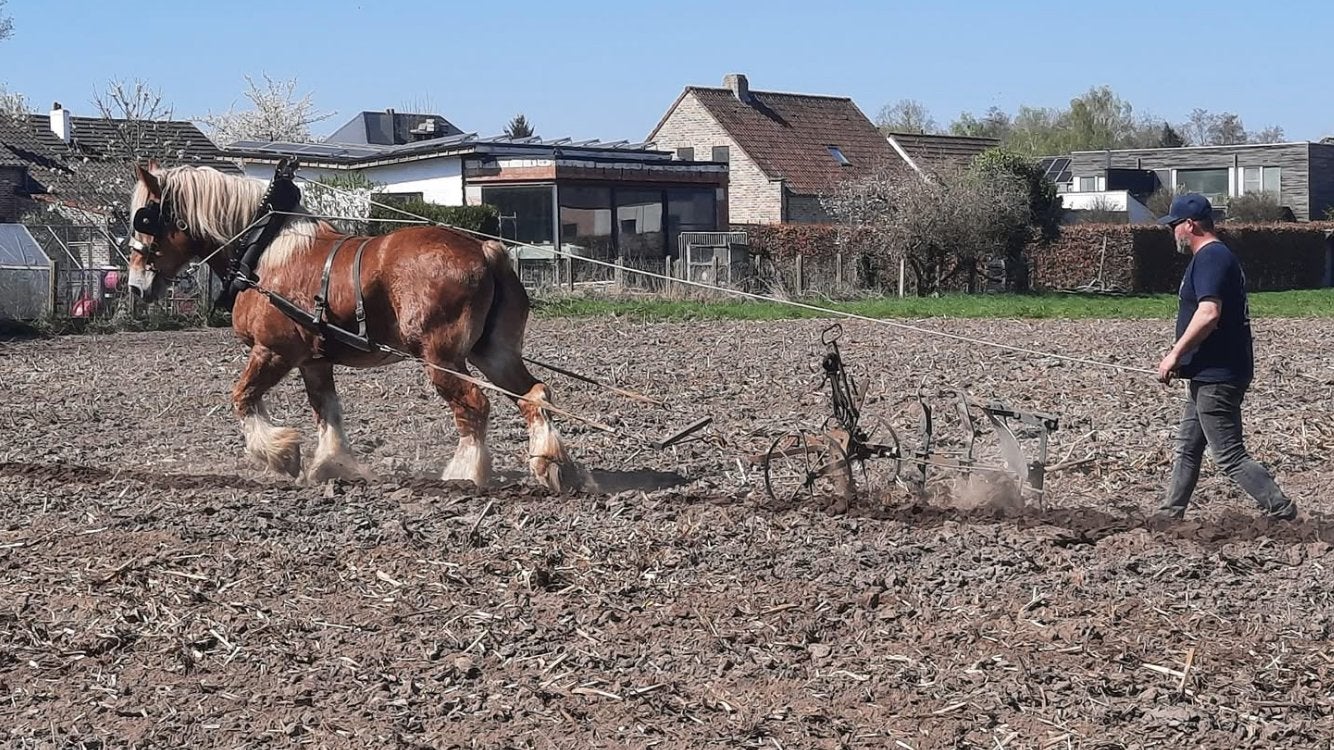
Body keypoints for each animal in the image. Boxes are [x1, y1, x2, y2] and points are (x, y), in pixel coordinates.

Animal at [124, 161, 591, 493]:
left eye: (144, 219)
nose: (135, 285)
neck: (265, 252)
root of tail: (486, 249)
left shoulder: (273, 350)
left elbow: (242, 397)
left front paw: (282, 455)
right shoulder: (313, 360)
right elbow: (327, 410)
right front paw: (330, 464)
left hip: (441, 358)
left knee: (474, 406)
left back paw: (464, 474)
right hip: (493, 353)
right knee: (534, 395)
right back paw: (551, 465)